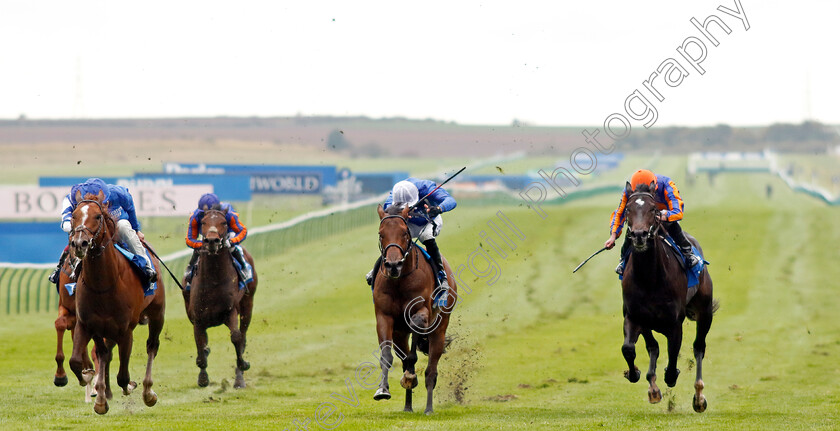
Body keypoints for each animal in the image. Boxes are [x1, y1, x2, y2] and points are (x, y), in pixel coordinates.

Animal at [66, 192, 165, 416]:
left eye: (97, 216)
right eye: (74, 215)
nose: (79, 243)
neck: (103, 284)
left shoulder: (125, 330)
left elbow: (123, 376)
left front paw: (132, 387)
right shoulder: (86, 324)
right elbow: (76, 361)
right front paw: (90, 383)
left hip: (157, 314)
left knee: (152, 346)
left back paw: (148, 391)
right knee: (104, 354)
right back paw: (101, 394)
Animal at [185, 208, 258, 390]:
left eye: (224, 222)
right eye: (203, 222)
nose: (212, 240)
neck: (213, 280)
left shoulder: (230, 311)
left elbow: (237, 338)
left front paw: (243, 366)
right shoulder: (197, 318)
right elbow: (201, 346)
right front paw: (203, 377)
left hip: (247, 305)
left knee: (243, 336)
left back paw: (239, 378)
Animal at [372, 206, 456, 416]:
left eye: (404, 232)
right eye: (381, 234)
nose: (393, 265)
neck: (400, 281)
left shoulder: (421, 313)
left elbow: (413, 355)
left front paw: (411, 376)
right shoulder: (384, 317)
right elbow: (386, 355)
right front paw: (382, 390)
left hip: (439, 330)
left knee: (431, 371)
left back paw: (428, 408)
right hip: (400, 335)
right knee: (404, 360)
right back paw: (408, 406)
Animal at [620, 184, 720, 414]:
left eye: (653, 210)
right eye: (628, 209)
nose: (639, 235)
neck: (649, 277)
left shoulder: (675, 323)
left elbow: (673, 355)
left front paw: (671, 376)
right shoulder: (634, 316)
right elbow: (630, 348)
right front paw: (635, 374)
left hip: (705, 311)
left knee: (699, 347)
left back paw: (699, 397)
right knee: (653, 346)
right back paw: (653, 387)